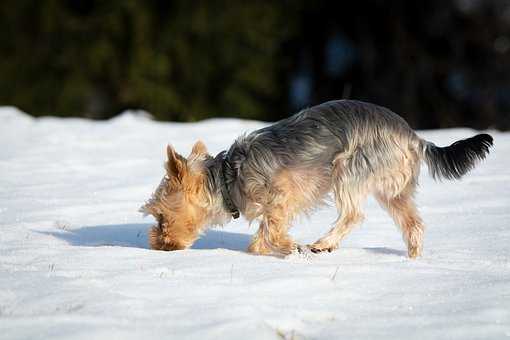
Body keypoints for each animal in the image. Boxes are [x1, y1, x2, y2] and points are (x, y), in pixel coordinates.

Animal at [140, 100, 494, 258]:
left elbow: (270, 227)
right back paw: (414, 260)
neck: (227, 179)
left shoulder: (282, 193)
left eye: (160, 217)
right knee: (413, 223)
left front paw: (289, 247)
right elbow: (264, 235)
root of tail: (412, 136)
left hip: (348, 168)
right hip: (392, 186)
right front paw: (271, 248)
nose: (158, 245)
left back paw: (322, 244)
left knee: (352, 213)